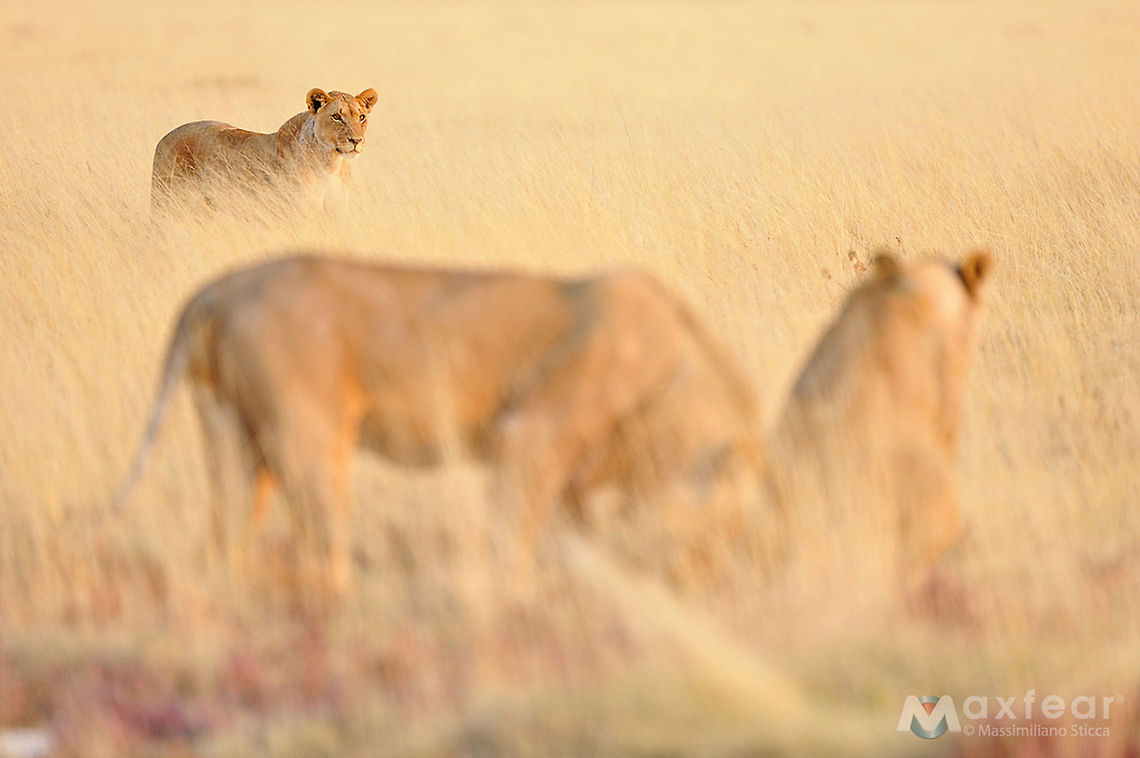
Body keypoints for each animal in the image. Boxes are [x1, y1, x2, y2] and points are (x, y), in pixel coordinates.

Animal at [113, 255, 765, 593]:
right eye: (725, 533)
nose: (714, 584)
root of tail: (215, 289)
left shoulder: (573, 477)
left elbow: (569, 538)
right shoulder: (529, 436)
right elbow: (514, 535)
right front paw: (521, 609)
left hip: (230, 434)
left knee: (226, 533)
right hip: (308, 435)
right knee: (323, 537)